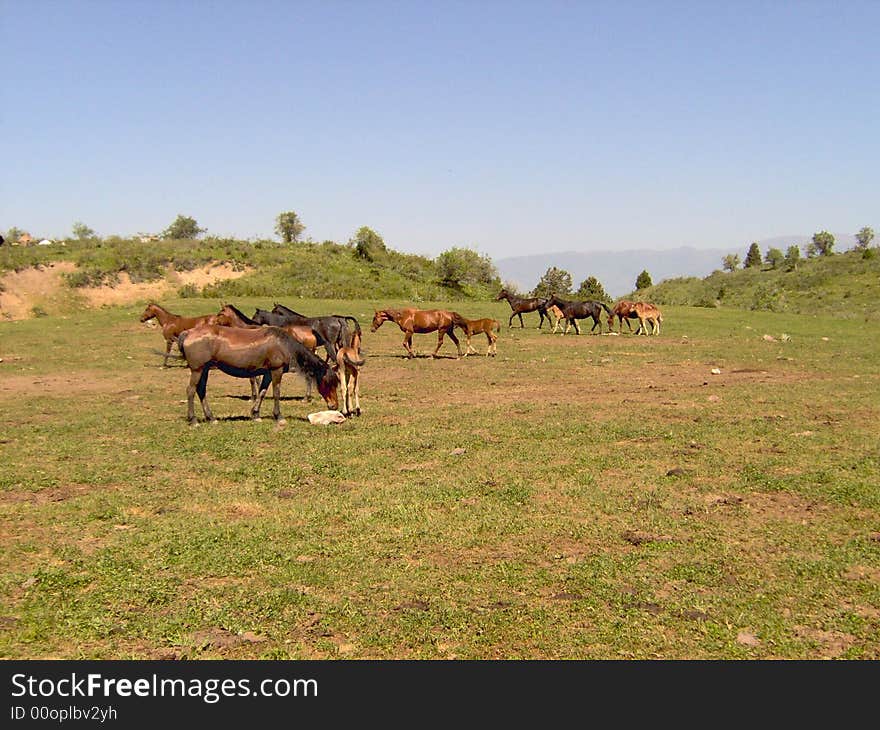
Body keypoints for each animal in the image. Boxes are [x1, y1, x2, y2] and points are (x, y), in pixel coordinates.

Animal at [177, 322, 338, 424]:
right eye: (329, 383)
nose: (334, 406)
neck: (283, 345)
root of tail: (188, 333)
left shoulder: (267, 373)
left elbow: (262, 392)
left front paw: (255, 414)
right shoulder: (276, 370)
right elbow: (276, 392)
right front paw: (278, 416)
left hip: (204, 370)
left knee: (201, 390)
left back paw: (211, 418)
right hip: (197, 369)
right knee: (191, 390)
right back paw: (193, 420)